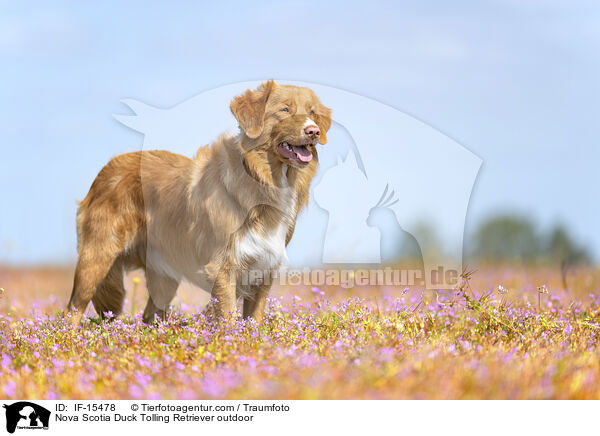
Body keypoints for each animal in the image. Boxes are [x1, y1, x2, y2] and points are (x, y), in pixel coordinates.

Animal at [65, 82, 332, 326]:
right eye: (285, 110)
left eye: (312, 112)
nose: (314, 131)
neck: (262, 178)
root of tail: (106, 169)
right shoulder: (223, 268)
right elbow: (229, 322)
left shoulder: (263, 269)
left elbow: (254, 322)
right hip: (96, 258)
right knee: (72, 310)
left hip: (163, 278)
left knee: (149, 316)